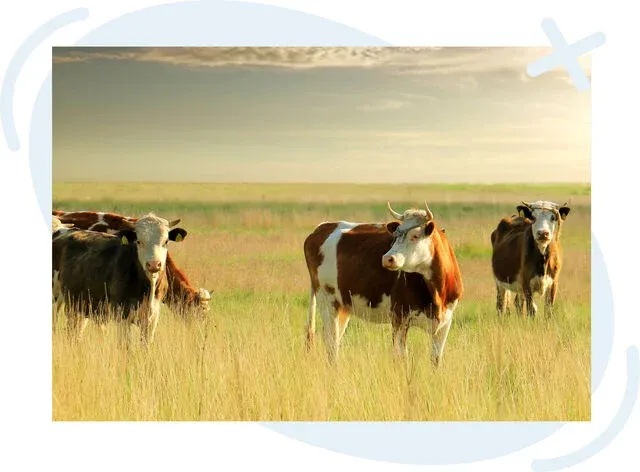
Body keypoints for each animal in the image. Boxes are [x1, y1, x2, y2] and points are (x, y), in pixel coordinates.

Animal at [52, 213, 188, 345]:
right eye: (139, 241)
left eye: (166, 241)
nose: (154, 264)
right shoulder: (123, 317)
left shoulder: (151, 319)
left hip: (80, 306)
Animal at [303, 202, 463, 365]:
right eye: (396, 235)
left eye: (415, 235)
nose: (387, 258)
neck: (437, 292)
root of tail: (323, 226)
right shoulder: (399, 317)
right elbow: (401, 357)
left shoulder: (445, 321)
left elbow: (435, 359)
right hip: (327, 299)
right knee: (331, 341)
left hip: (343, 305)